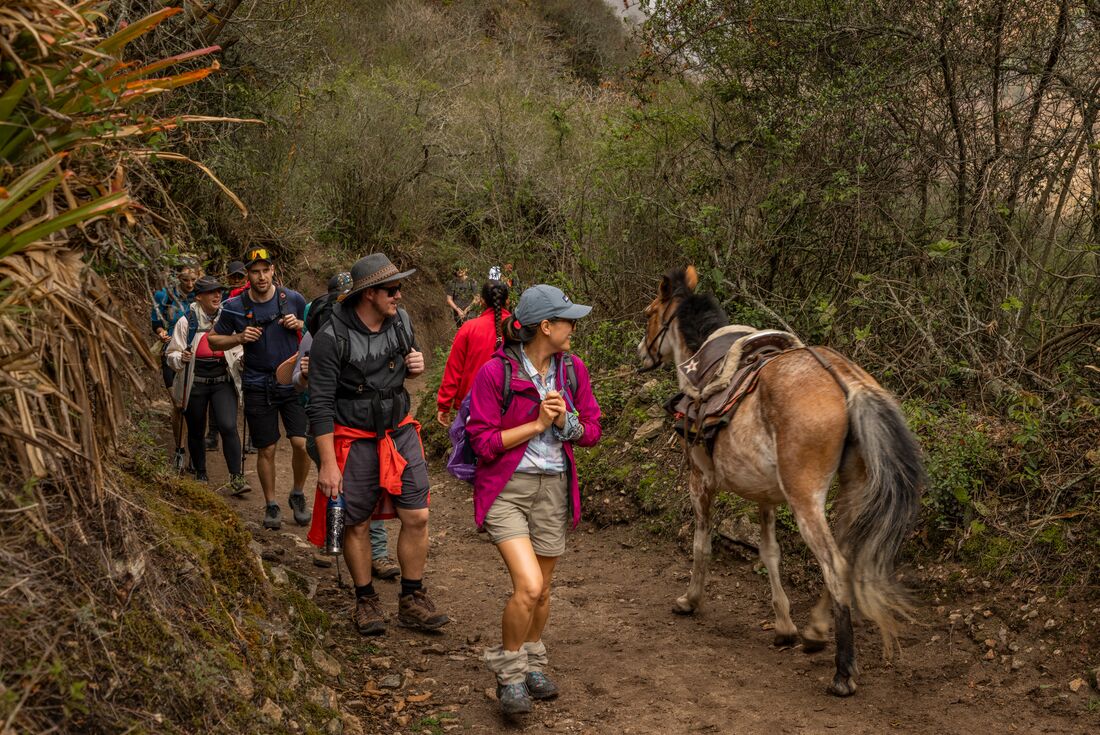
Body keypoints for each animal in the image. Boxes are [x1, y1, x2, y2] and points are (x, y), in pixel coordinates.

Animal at [642, 265, 924, 695]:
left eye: (649, 313)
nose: (642, 352)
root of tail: (847, 382)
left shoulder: (700, 479)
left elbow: (701, 544)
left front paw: (691, 600)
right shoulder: (766, 497)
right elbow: (770, 552)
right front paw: (785, 626)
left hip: (805, 498)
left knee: (834, 564)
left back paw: (843, 671)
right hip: (851, 492)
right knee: (844, 556)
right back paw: (815, 632)